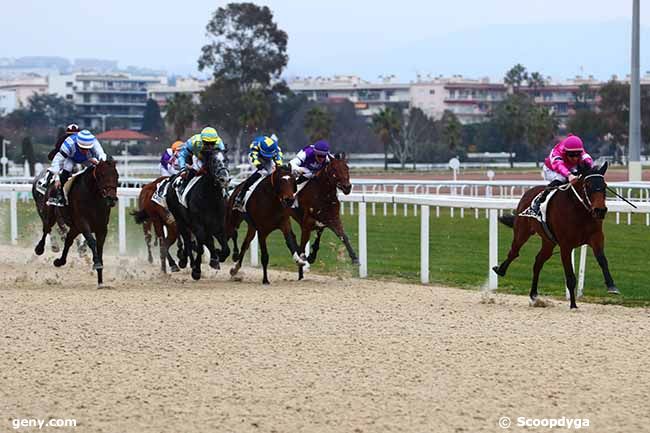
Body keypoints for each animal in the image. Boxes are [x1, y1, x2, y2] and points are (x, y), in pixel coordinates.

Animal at [492, 161, 612, 308]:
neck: (579, 211)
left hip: (549, 241)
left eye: (604, 186)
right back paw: (500, 270)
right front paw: (573, 305)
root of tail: (528, 193)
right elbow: (570, 277)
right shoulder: (566, 246)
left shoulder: (596, 237)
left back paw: (533, 294)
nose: (600, 210)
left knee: (538, 261)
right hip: (522, 231)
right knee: (514, 252)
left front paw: (612, 286)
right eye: (588, 185)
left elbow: (602, 260)